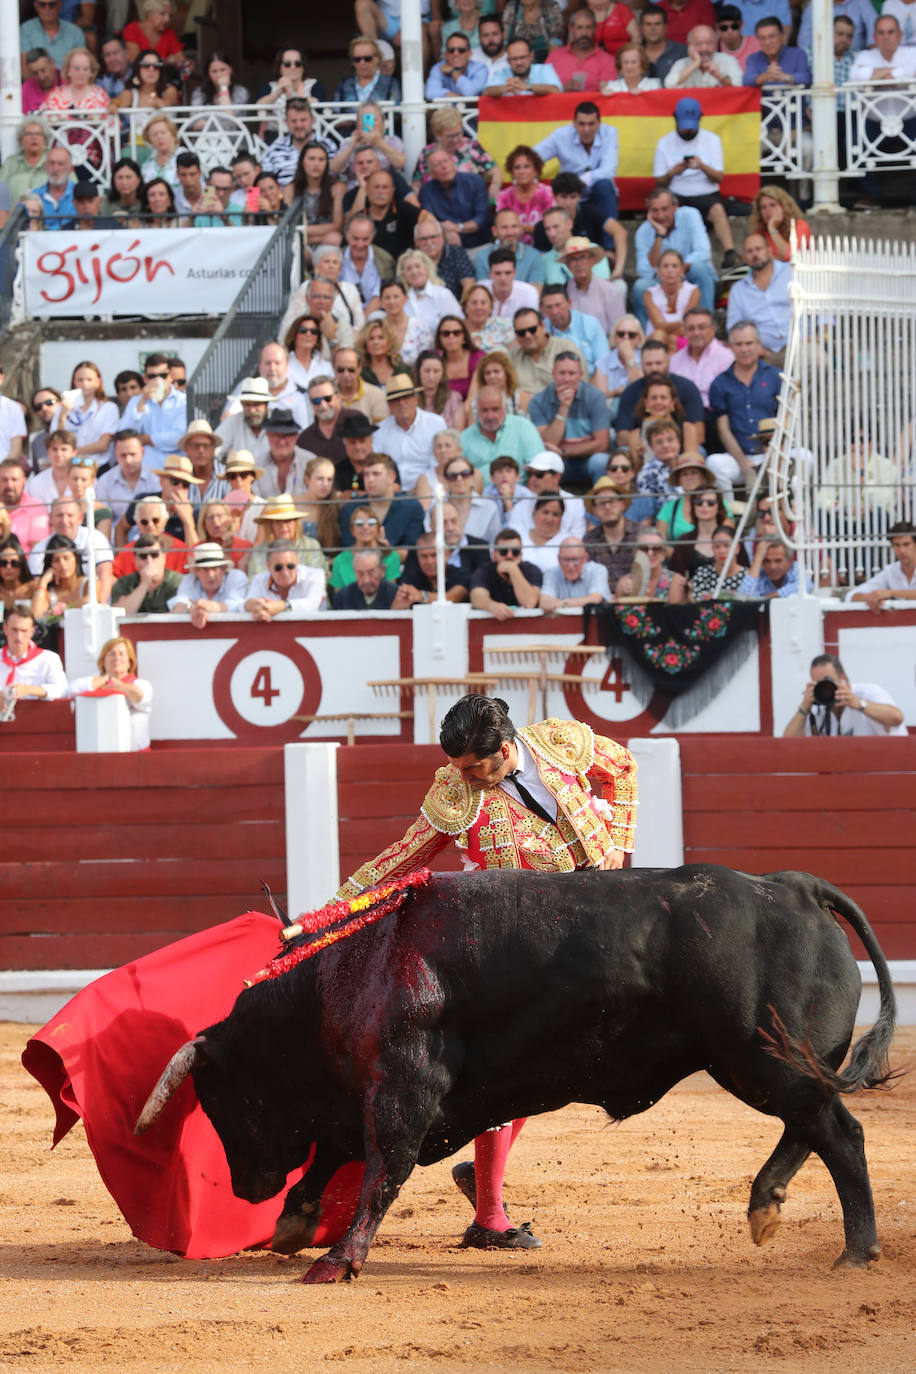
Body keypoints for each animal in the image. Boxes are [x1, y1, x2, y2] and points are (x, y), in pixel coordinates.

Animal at [135, 862, 895, 1280]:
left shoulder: (404, 1087)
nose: (244, 1187)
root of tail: (794, 887)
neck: (348, 972)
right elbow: (336, 1154)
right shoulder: (366, 1093)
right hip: (761, 1063)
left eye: (224, 1098)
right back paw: (768, 1206)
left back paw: (856, 1250)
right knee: (814, 1124)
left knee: (839, 1131)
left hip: (757, 1058)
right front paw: (295, 1226)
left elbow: (382, 1167)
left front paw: (338, 1261)